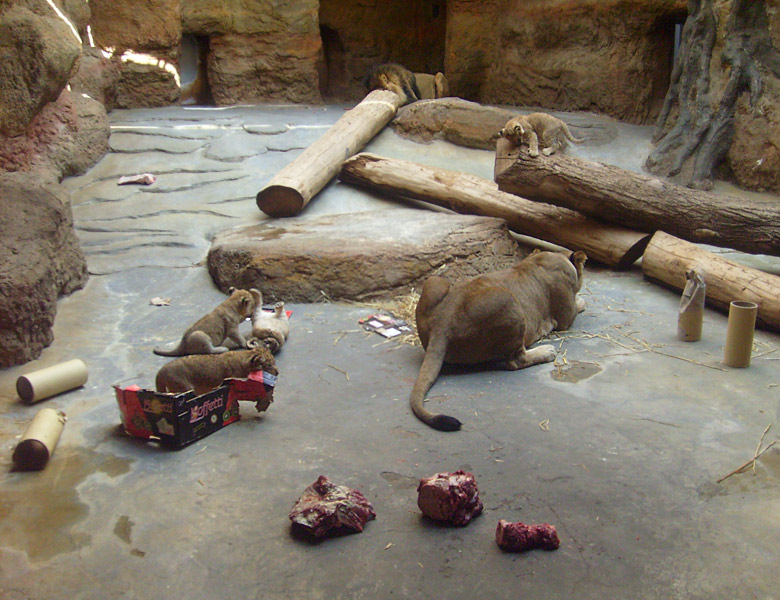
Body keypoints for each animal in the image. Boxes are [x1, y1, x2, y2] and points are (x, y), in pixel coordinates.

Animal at [408, 250, 584, 432]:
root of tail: (441, 325)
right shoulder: (565, 318)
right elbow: (580, 304)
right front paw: (581, 300)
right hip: (508, 300)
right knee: (516, 360)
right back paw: (547, 351)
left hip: (434, 281)